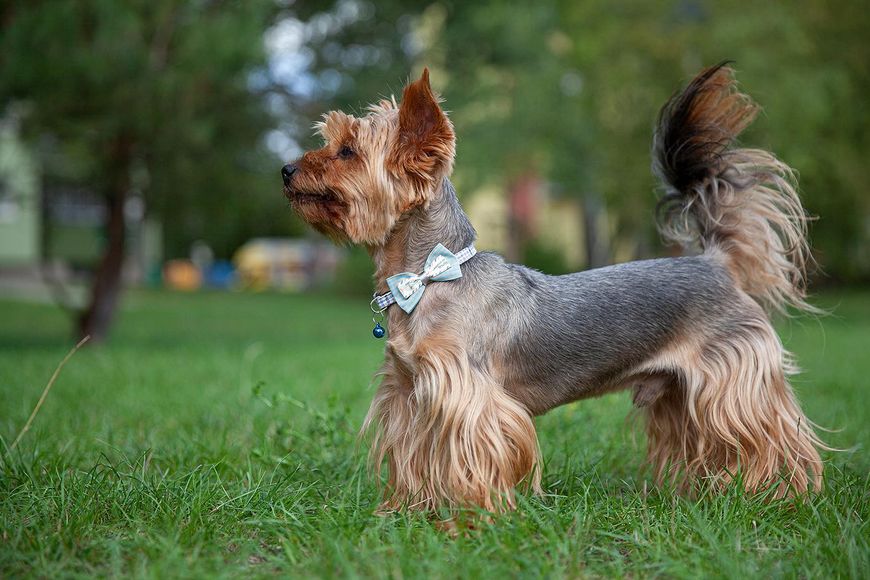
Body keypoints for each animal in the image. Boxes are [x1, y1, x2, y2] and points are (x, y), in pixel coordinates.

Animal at [282, 61, 828, 510]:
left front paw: (469, 519)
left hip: (733, 383)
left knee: (776, 438)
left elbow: (471, 459)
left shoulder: (468, 396)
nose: (285, 168)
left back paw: (781, 495)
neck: (425, 277)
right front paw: (407, 511)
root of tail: (717, 263)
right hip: (678, 391)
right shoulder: (409, 392)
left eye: (347, 151)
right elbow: (415, 457)